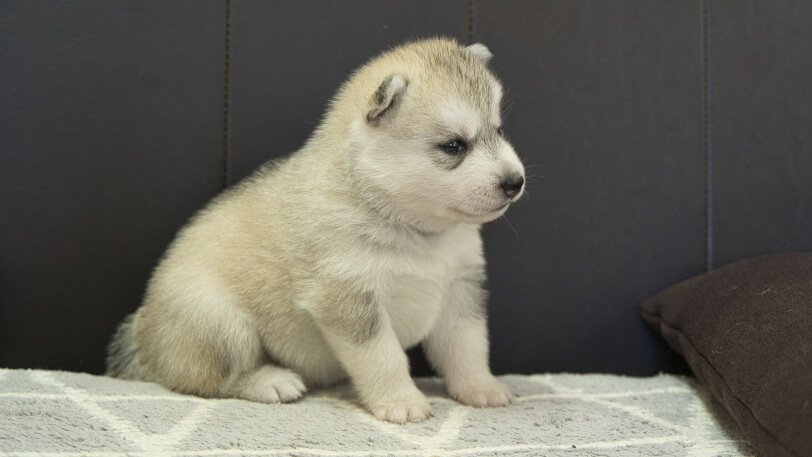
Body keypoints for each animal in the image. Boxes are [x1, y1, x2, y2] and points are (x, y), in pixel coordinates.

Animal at [106, 37, 528, 422]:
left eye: (499, 130)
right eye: (454, 146)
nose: (515, 182)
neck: (410, 226)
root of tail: (140, 335)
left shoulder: (461, 289)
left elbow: (468, 346)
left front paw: (480, 387)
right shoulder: (350, 301)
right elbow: (385, 358)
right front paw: (401, 401)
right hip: (218, 319)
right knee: (208, 380)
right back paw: (269, 381)